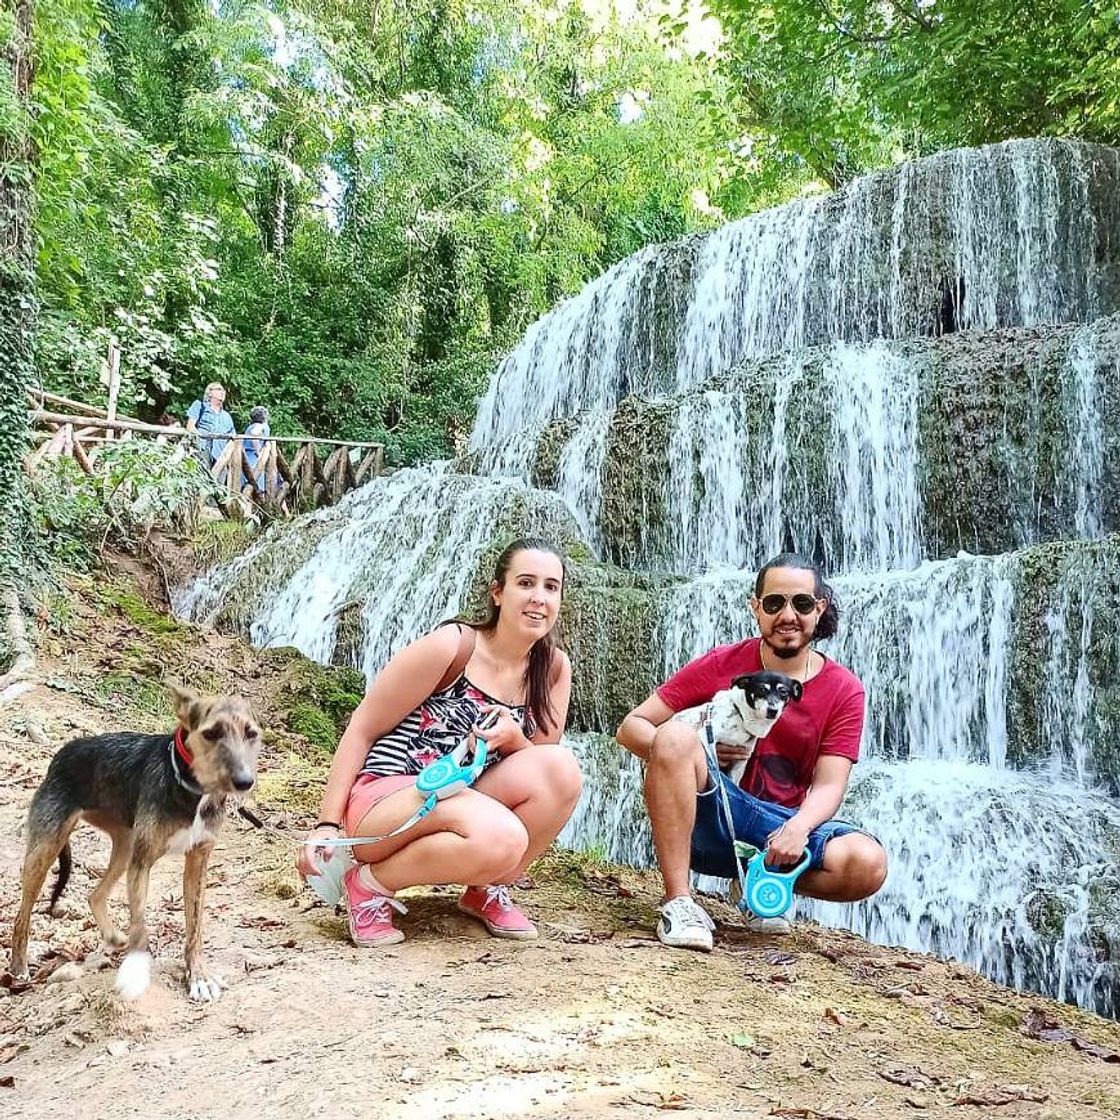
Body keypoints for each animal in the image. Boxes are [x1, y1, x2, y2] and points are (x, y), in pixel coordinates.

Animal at [9, 685, 258, 1003]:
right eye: (211, 733)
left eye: (252, 734)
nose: (244, 782)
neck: (192, 789)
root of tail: (62, 753)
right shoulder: (143, 861)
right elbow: (140, 924)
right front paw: (136, 973)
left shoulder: (197, 861)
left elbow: (195, 927)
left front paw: (198, 975)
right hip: (46, 849)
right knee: (22, 915)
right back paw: (18, 968)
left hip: (124, 846)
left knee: (94, 895)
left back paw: (113, 936)